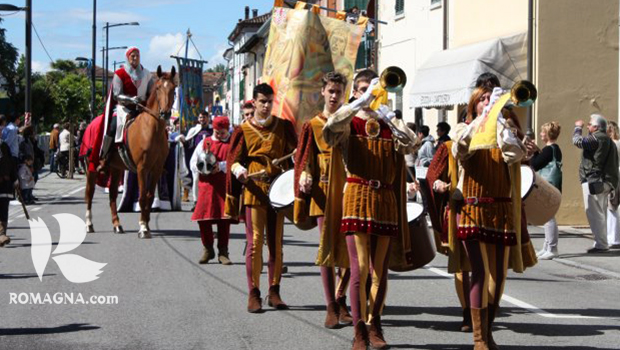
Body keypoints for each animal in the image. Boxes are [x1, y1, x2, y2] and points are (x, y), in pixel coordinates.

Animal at [85, 66, 177, 238]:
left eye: (173, 89)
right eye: (158, 88)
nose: (166, 113)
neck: (152, 129)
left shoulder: (155, 169)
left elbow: (149, 196)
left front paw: (146, 224)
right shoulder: (142, 168)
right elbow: (141, 197)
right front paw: (143, 228)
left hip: (115, 168)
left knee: (112, 195)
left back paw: (117, 225)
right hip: (91, 166)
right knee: (89, 193)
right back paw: (89, 224)